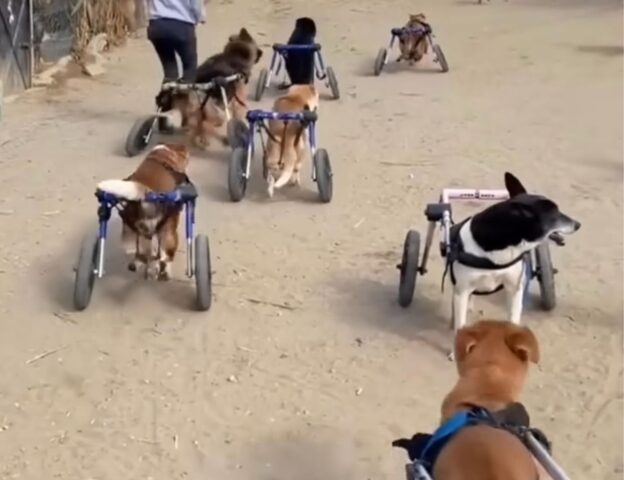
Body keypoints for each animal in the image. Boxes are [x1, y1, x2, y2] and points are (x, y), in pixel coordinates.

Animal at [97, 144, 190, 284]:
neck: (164, 154)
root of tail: (145, 194)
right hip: (169, 234)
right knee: (165, 258)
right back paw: (164, 273)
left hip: (133, 235)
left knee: (144, 256)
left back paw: (143, 268)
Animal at [448, 172, 580, 338]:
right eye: (555, 214)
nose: (578, 224)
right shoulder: (462, 291)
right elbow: (460, 324)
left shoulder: (514, 288)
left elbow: (513, 319)